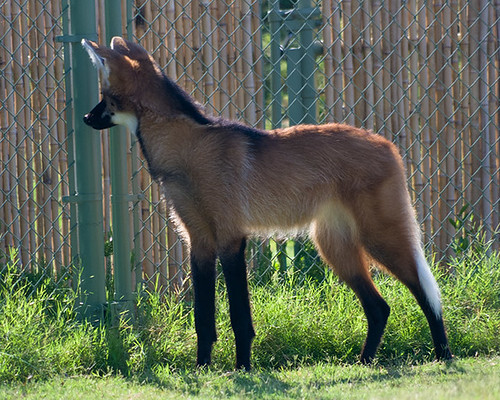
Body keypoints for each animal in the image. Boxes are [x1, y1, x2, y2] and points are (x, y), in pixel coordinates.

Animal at [83, 36, 454, 370]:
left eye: (104, 98)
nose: (86, 118)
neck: (186, 151)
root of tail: (388, 144)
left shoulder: (230, 238)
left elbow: (238, 317)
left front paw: (242, 368)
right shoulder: (198, 241)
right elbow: (203, 318)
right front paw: (202, 368)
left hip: (379, 237)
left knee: (426, 293)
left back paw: (443, 355)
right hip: (334, 247)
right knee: (379, 308)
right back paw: (363, 363)